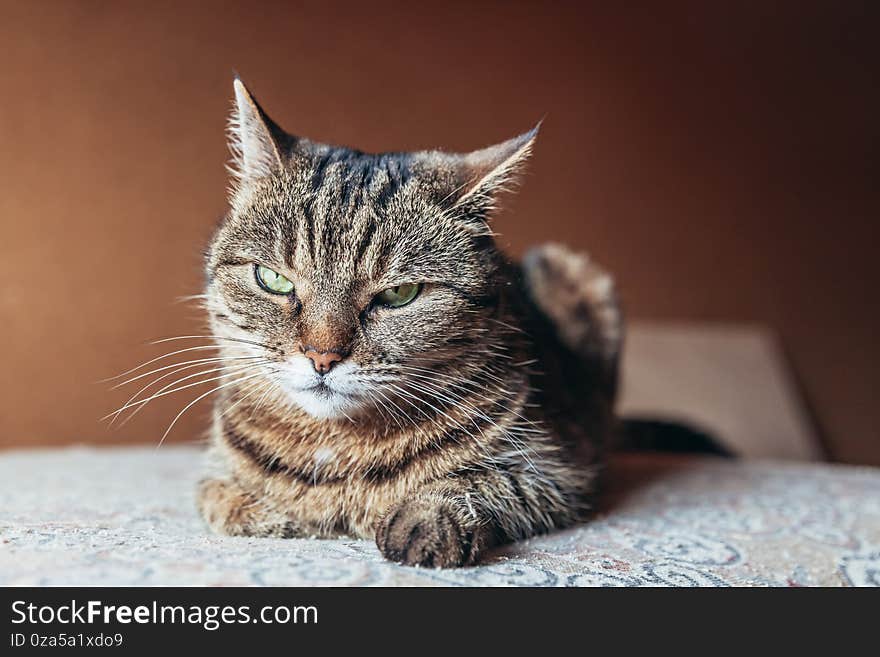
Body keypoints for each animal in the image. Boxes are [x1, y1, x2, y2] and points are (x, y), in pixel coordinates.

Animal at [197, 77, 624, 568]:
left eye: (399, 294)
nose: (322, 357)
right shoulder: (213, 475)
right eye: (274, 280)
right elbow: (227, 501)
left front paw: (426, 517)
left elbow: (479, 482)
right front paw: (275, 513)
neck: (336, 448)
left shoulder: (559, 469)